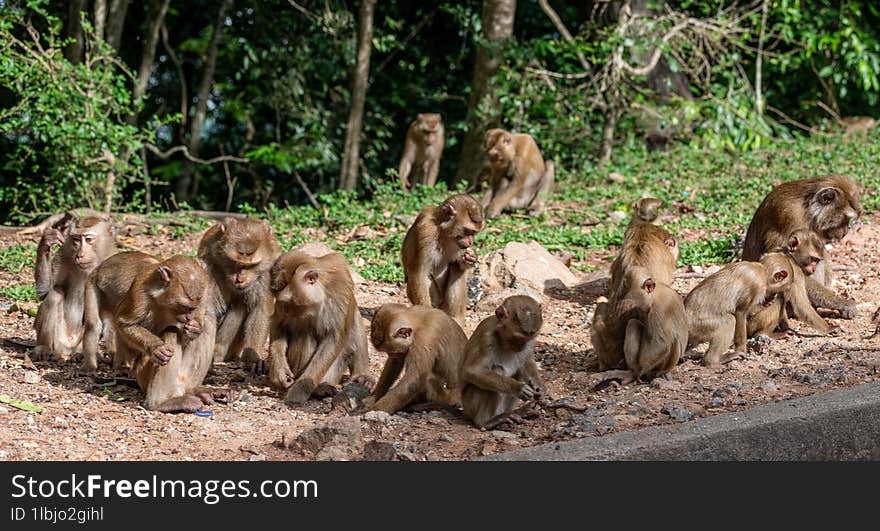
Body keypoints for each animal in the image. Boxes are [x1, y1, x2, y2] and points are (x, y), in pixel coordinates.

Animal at [33, 214, 116, 364]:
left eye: (88, 239)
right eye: (76, 239)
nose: (80, 255)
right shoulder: (63, 253)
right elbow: (44, 292)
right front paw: (47, 241)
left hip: (78, 343)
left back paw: (82, 354)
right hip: (59, 342)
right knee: (55, 294)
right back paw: (43, 348)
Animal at [112, 256, 219, 414]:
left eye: (192, 308)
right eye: (184, 306)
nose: (188, 317)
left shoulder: (206, 289)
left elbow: (203, 314)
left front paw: (194, 328)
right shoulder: (140, 290)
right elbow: (125, 324)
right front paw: (156, 347)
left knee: (209, 322)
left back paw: (193, 389)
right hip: (143, 374)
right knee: (172, 331)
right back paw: (159, 403)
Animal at [264, 251, 368, 406]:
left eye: (291, 301)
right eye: (283, 303)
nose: (287, 313)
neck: (321, 294)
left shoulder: (341, 291)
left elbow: (333, 339)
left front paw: (299, 390)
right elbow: (279, 324)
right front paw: (280, 373)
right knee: (305, 334)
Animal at [402, 194, 484, 322]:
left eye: (474, 233)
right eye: (468, 231)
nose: (471, 241)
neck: (443, 231)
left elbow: (459, 263)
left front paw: (470, 258)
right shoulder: (426, 231)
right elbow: (419, 273)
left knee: (456, 269)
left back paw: (455, 319)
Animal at [460, 298, 544, 430]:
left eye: (528, 338)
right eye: (517, 338)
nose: (521, 347)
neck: (501, 337)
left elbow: (526, 362)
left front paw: (538, 385)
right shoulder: (486, 338)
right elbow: (472, 370)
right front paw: (517, 388)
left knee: (518, 373)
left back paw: (516, 412)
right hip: (469, 405)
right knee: (496, 370)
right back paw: (486, 422)